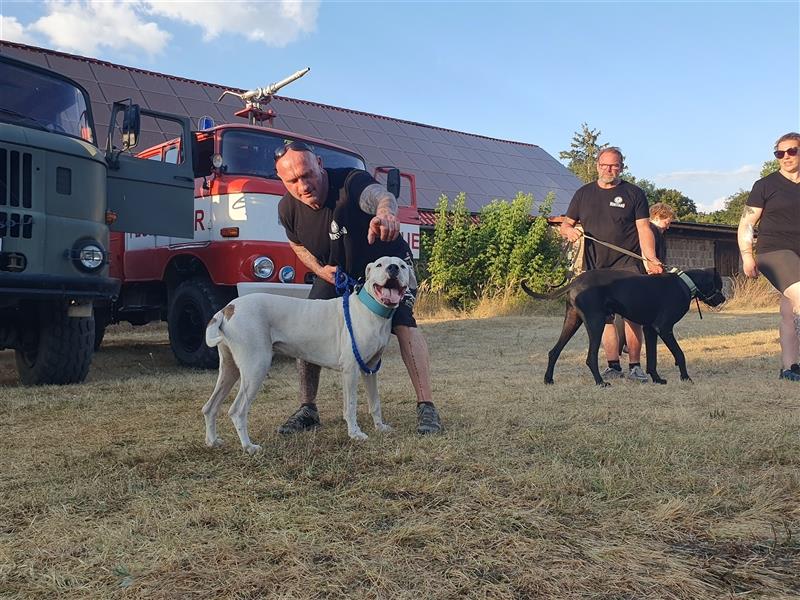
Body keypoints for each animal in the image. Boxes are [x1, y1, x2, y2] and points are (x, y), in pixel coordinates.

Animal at [203, 254, 410, 454]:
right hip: (256, 368)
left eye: (402, 265)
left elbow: (375, 402)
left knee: (209, 407)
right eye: (380, 265)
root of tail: (227, 308)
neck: (370, 309)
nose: (393, 268)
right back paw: (249, 447)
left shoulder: (370, 370)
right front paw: (355, 433)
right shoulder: (351, 371)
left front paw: (380, 427)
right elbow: (351, 406)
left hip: (230, 369)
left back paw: (213, 441)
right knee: (237, 411)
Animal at [520, 268, 728, 384]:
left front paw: (657, 379)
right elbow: (680, 354)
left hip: (572, 321)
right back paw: (600, 382)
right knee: (590, 357)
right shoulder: (664, 327)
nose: (723, 299)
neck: (686, 283)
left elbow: (652, 360)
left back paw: (548, 379)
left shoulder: (650, 330)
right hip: (596, 322)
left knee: (554, 351)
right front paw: (686, 378)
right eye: (718, 285)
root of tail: (575, 281)